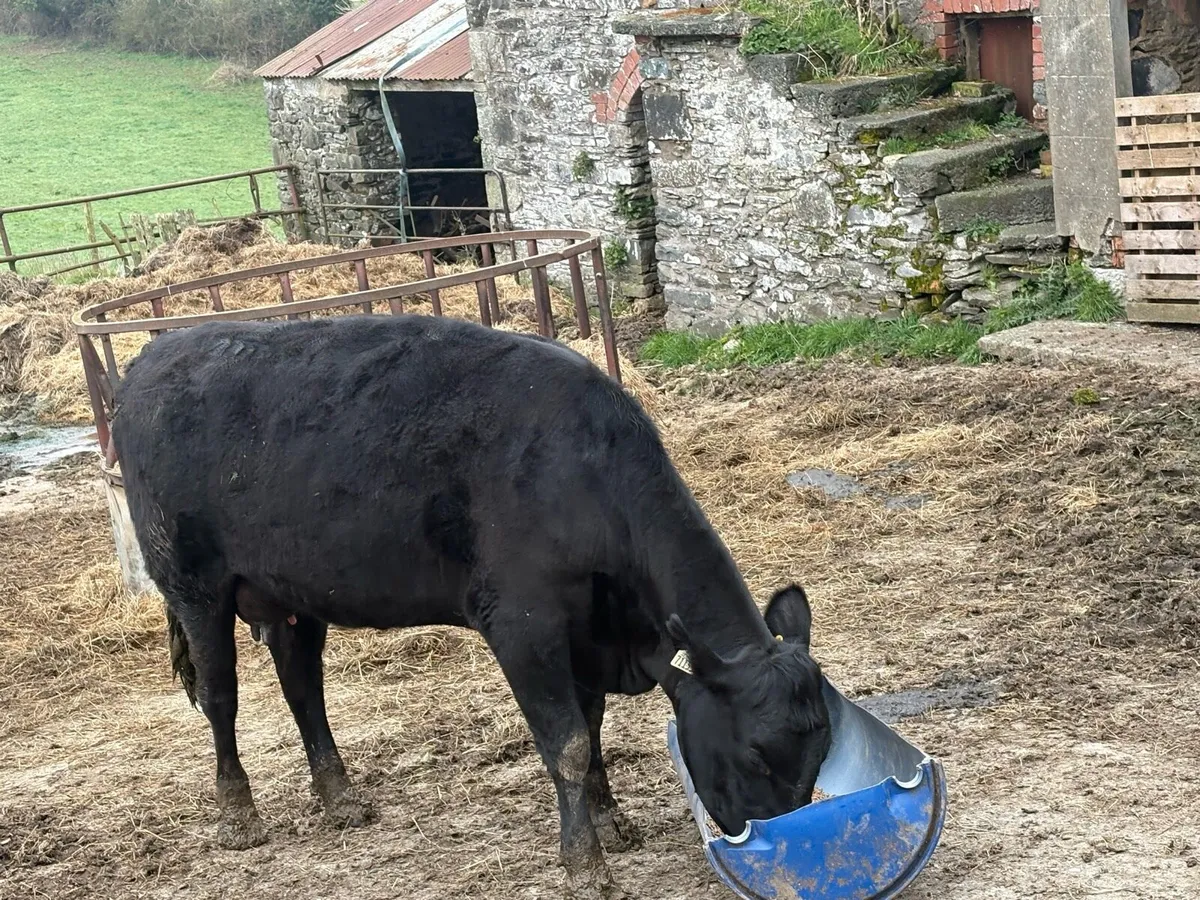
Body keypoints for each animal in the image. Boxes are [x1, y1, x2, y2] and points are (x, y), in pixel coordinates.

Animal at [112, 314, 832, 899]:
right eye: (755, 755)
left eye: (820, 753)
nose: (783, 851)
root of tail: (156, 353)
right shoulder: (523, 623)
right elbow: (568, 743)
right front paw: (586, 867)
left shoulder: (585, 632)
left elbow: (592, 725)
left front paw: (609, 821)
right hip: (192, 583)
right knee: (221, 697)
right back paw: (238, 816)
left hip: (291, 590)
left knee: (302, 687)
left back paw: (340, 798)